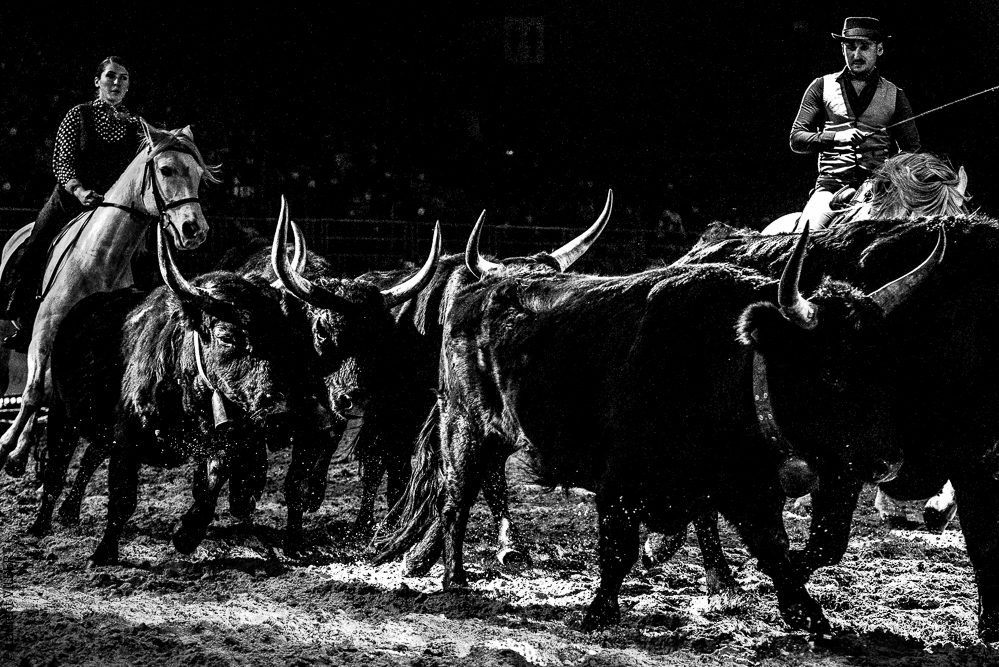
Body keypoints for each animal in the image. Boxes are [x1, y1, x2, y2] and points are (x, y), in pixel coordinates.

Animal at [0, 119, 217, 477]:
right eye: (166, 169)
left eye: (199, 174)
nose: (194, 230)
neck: (98, 258)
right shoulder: (45, 331)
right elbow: (32, 393)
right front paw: (7, 446)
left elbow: (48, 393)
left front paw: (19, 452)